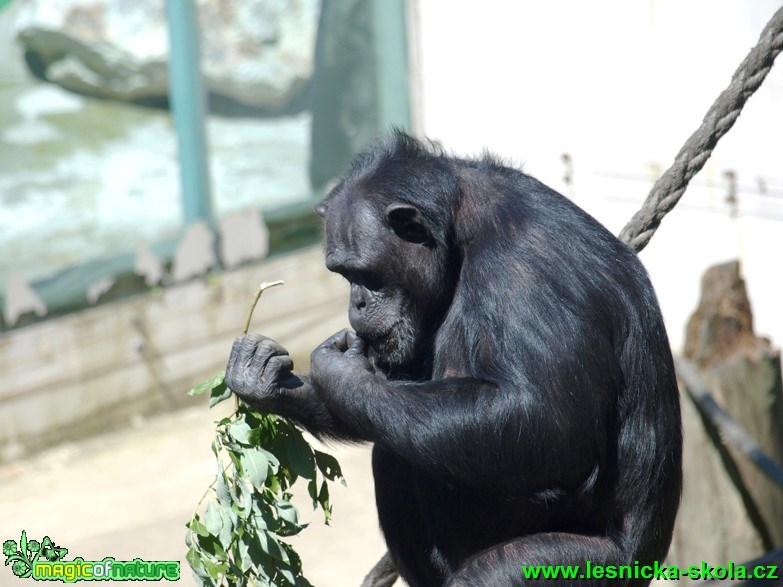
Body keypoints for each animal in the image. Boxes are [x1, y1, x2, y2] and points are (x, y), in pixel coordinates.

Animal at [224, 132, 684, 587]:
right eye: (341, 273)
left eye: (364, 273)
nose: (356, 301)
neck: (459, 234)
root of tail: (646, 561)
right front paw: (262, 377)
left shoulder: (522, 271)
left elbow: (549, 422)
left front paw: (339, 373)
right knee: (394, 449)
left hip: (579, 564)